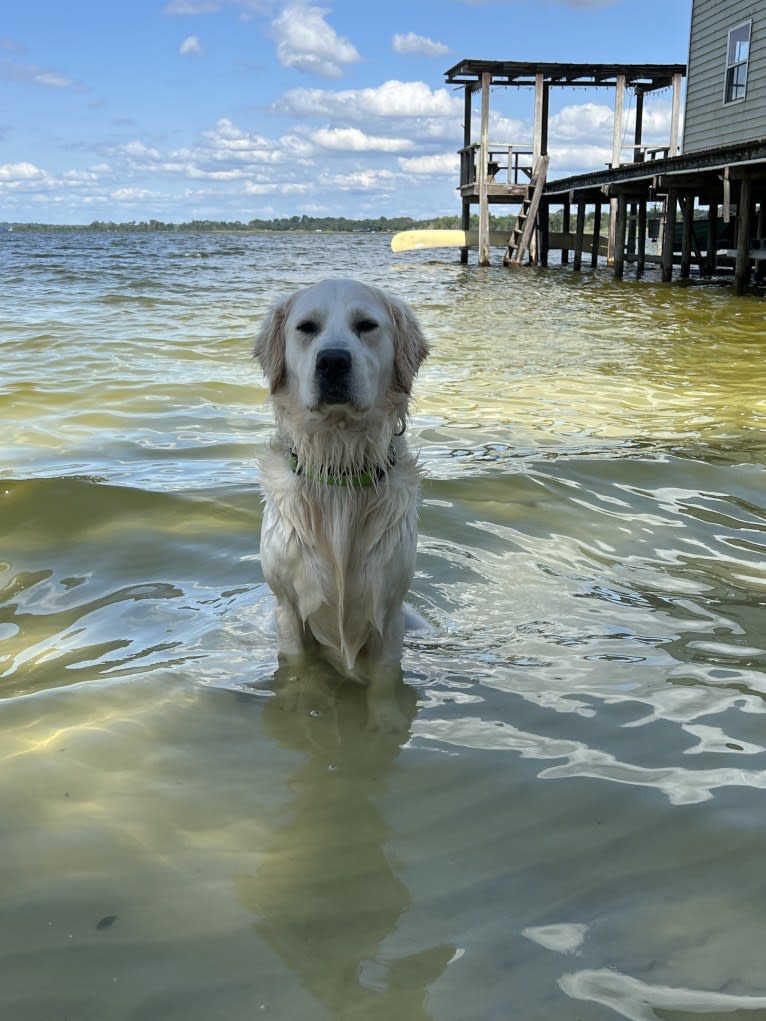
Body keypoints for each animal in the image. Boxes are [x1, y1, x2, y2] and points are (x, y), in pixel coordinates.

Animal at [255, 277, 428, 726]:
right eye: (307, 328)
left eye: (366, 325)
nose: (333, 361)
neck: (340, 468)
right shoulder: (288, 611)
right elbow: (301, 670)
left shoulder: (389, 611)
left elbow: (385, 679)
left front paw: (383, 724)